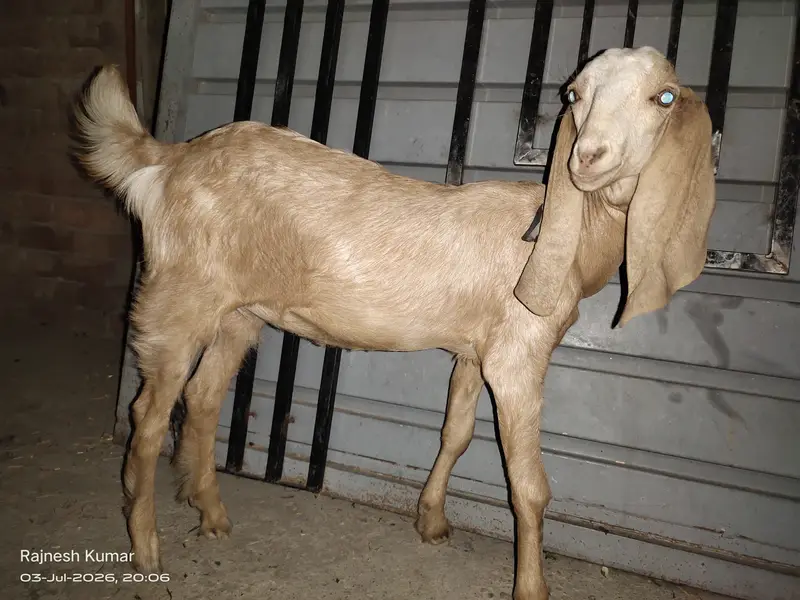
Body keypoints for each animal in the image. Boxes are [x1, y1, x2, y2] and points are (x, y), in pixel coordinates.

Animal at [73, 46, 715, 600]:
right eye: (575, 94)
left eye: (663, 97)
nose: (589, 158)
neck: (567, 236)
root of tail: (170, 160)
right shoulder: (518, 354)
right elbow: (529, 485)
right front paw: (532, 587)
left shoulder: (475, 350)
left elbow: (456, 433)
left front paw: (430, 521)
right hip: (178, 297)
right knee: (147, 417)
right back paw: (147, 548)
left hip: (238, 312)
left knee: (203, 397)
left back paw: (211, 513)